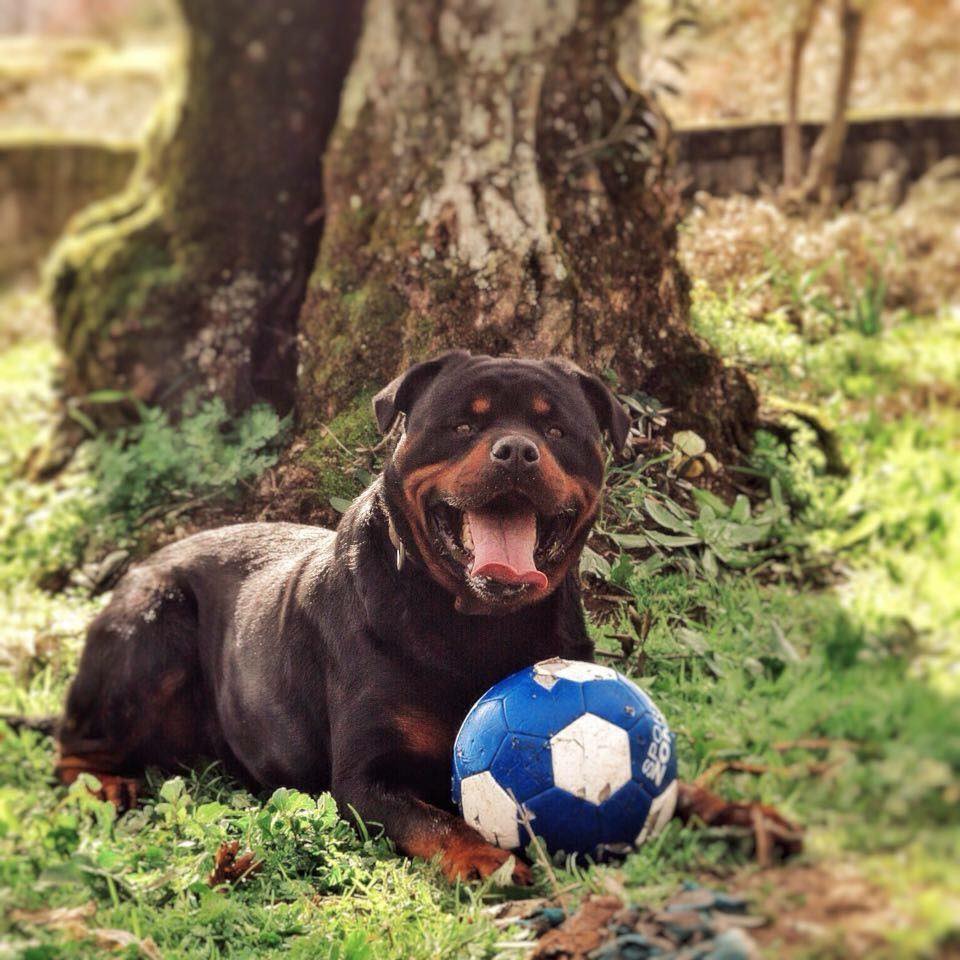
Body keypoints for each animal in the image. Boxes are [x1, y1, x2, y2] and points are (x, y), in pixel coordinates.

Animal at [56, 348, 800, 880]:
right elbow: (432, 820)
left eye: (555, 427)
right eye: (464, 423)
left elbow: (672, 786)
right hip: (151, 627)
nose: (516, 449)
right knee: (72, 744)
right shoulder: (364, 779)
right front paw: (486, 856)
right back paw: (104, 786)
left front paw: (734, 810)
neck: (476, 623)